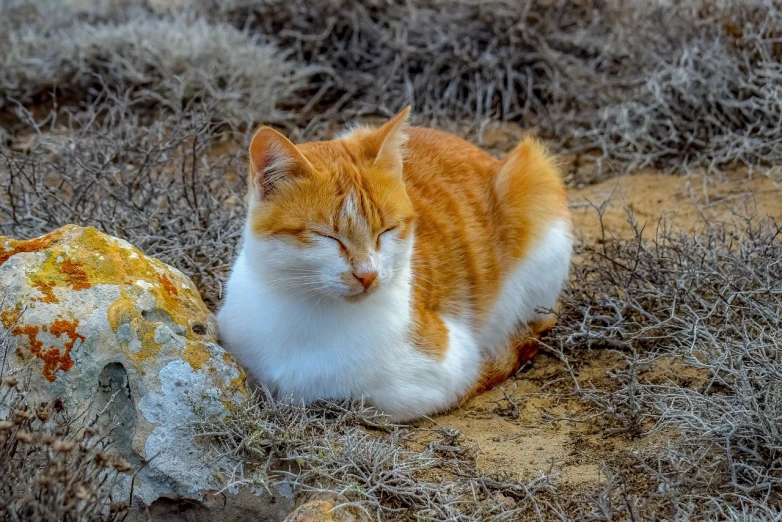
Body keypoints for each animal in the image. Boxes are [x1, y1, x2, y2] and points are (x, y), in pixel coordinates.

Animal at [217, 107, 572, 420]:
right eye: (328, 237)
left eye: (385, 231)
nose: (367, 274)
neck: (307, 310)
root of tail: (487, 155)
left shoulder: (449, 365)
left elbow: (358, 398)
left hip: (537, 188)